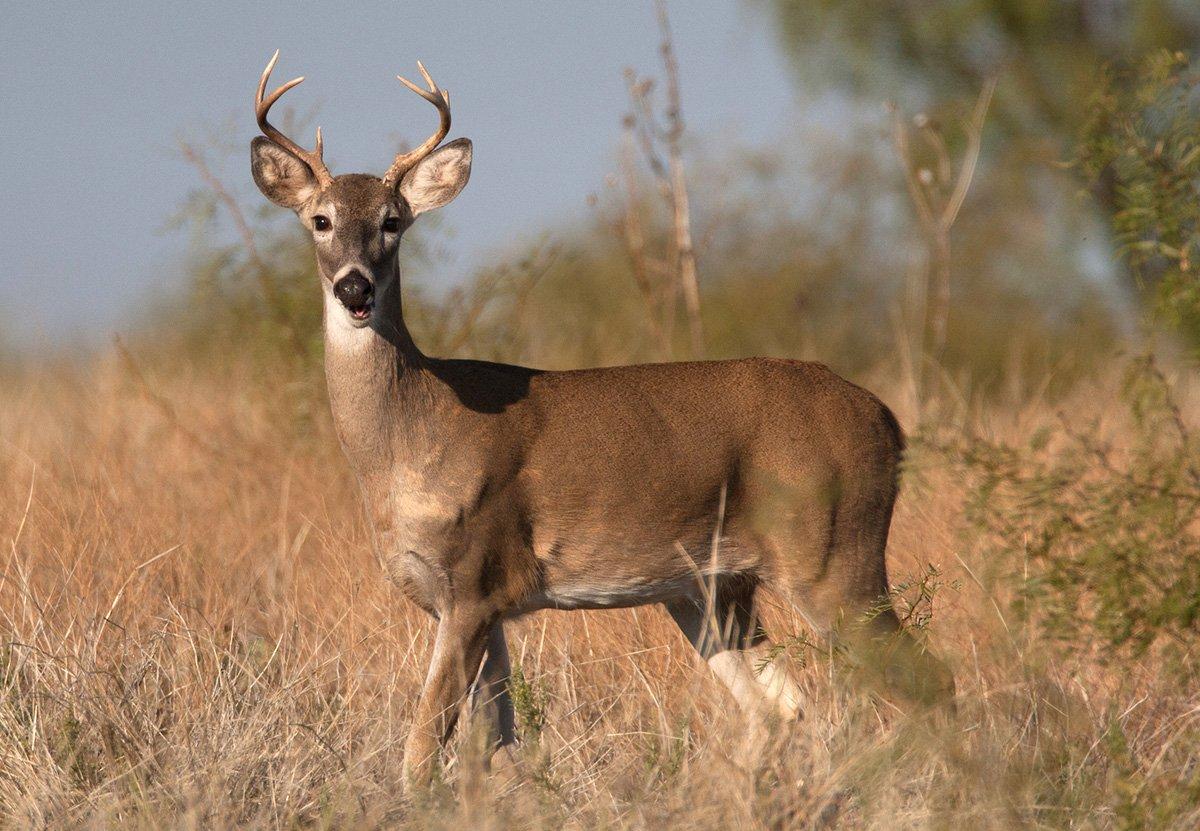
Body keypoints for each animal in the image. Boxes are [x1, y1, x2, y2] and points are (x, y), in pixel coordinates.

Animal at [248, 50, 950, 787]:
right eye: (320, 219)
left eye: (393, 221)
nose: (354, 287)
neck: (410, 437)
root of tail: (887, 420)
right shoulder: (477, 604)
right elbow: (495, 742)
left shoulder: (475, 578)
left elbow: (424, 744)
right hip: (712, 589)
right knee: (783, 708)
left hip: (834, 552)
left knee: (929, 681)